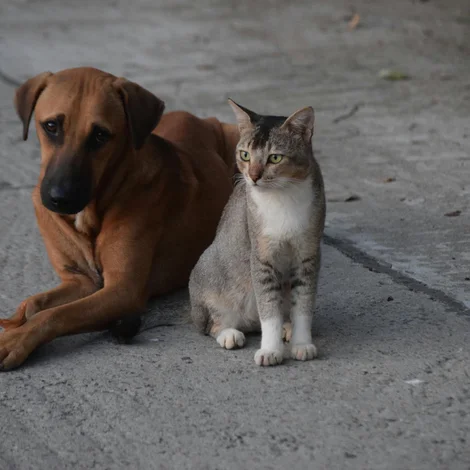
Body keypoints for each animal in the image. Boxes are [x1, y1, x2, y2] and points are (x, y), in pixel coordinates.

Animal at [0, 67, 239, 370]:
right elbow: (35, 303)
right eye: (51, 126)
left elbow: (57, 314)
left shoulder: (122, 289)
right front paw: (17, 320)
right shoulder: (80, 281)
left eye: (100, 135)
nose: (60, 198)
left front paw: (16, 339)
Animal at [189, 100, 324, 368]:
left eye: (275, 157)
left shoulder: (309, 255)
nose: (253, 176)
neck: (283, 197)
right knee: (213, 324)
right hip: (209, 273)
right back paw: (229, 334)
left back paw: (287, 327)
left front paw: (302, 344)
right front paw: (270, 350)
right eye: (245, 155)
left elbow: (303, 305)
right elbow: (268, 308)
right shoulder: (261, 256)